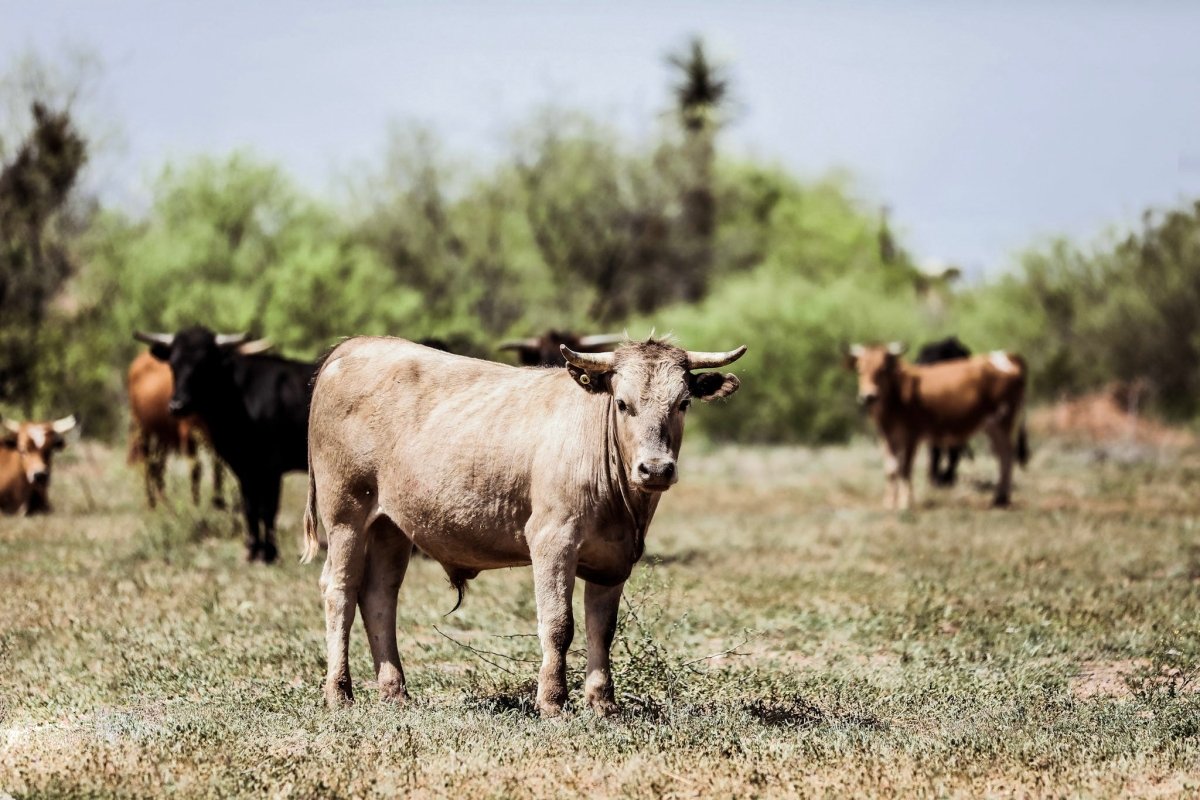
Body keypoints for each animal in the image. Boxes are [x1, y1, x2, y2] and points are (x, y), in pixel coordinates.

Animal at [134, 326, 319, 563]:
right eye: (173, 364)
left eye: (203, 364)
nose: (177, 405)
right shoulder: (243, 467)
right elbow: (250, 507)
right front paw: (253, 550)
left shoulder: (271, 467)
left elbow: (268, 509)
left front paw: (269, 552)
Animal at [304, 338, 744, 719]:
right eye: (623, 403)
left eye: (683, 403)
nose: (655, 469)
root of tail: (355, 345)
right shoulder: (553, 542)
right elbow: (559, 624)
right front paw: (552, 701)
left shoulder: (614, 560)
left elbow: (602, 629)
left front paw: (603, 703)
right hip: (346, 512)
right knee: (340, 591)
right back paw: (339, 692)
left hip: (391, 526)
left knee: (379, 596)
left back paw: (395, 692)